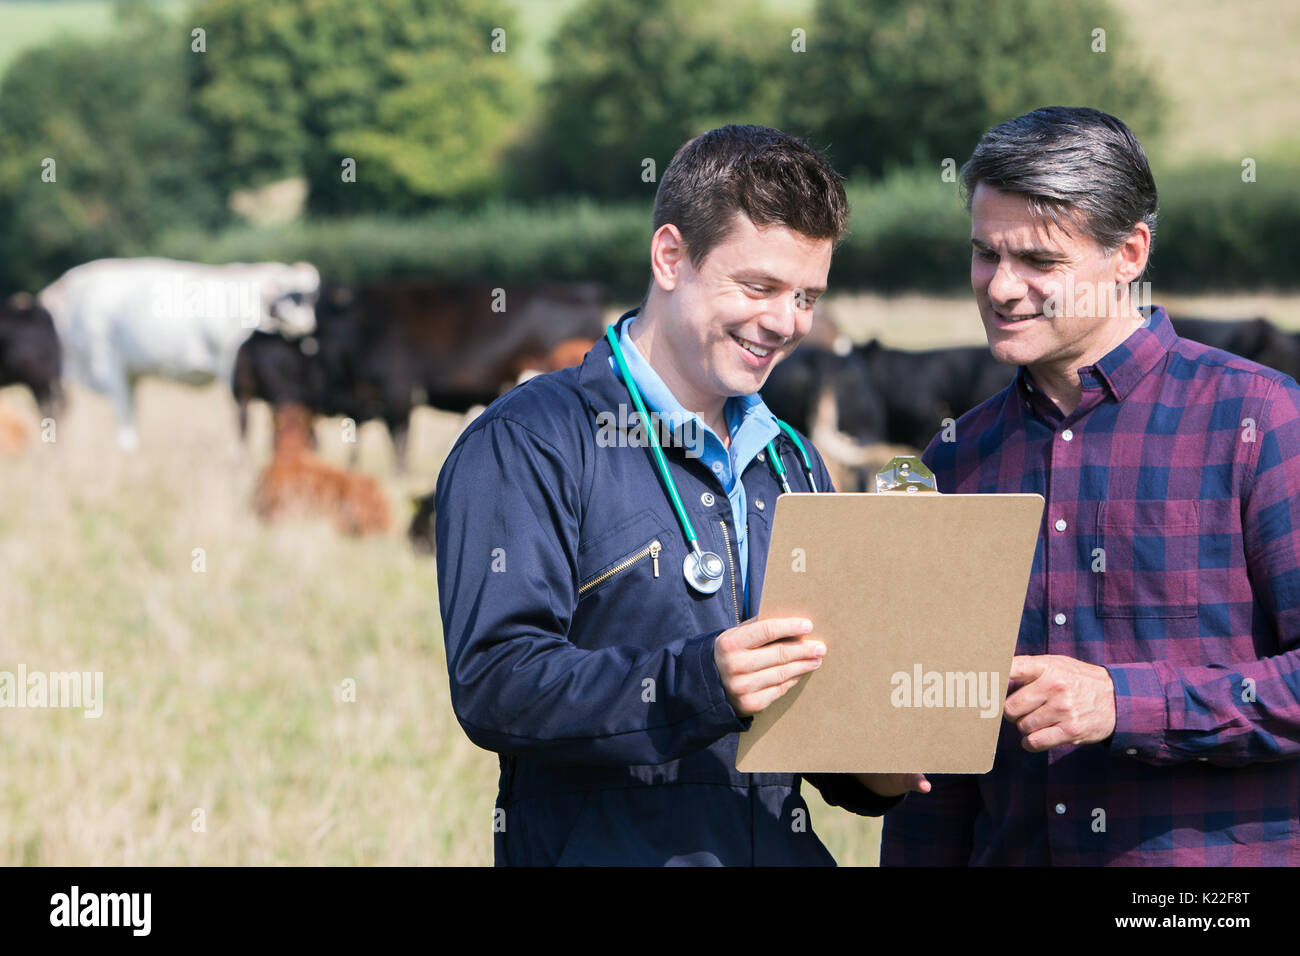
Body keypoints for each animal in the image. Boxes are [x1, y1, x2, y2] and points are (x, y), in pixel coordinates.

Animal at [38, 254, 319, 447]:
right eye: (291, 298)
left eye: (310, 298)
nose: (307, 322)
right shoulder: (126, 373)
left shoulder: (110, 368)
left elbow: (125, 424)